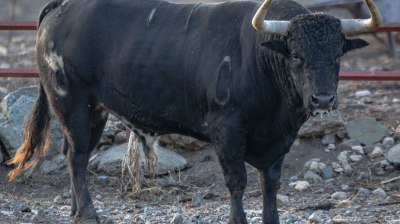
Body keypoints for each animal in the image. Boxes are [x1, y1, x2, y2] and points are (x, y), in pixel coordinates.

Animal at [8, 0, 376, 222]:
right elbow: (237, 181)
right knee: (76, 156)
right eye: (297, 55)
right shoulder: (227, 129)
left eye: (339, 54)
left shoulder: (278, 140)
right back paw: (87, 213)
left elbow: (270, 184)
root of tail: (63, 6)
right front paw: (237, 219)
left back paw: (74, 211)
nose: (323, 100)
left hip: (94, 108)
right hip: (71, 100)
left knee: (76, 153)